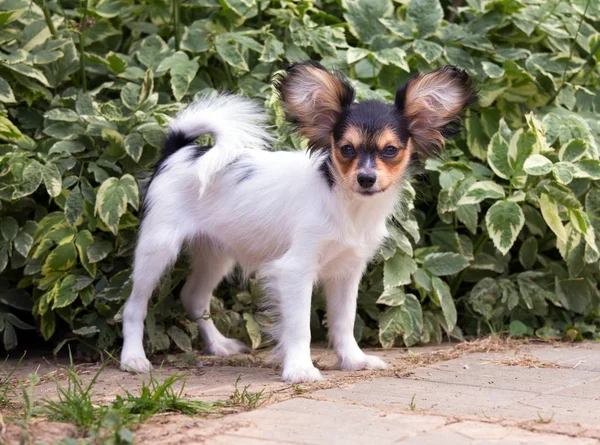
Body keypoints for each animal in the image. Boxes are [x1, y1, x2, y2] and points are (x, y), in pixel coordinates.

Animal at [120, 61, 478, 382]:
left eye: (390, 150)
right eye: (346, 149)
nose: (366, 178)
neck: (345, 204)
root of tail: (178, 151)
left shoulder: (347, 271)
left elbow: (344, 321)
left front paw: (353, 360)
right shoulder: (295, 270)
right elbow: (300, 327)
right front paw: (300, 370)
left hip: (216, 254)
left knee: (194, 298)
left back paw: (219, 345)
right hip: (157, 249)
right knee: (134, 306)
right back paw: (133, 358)